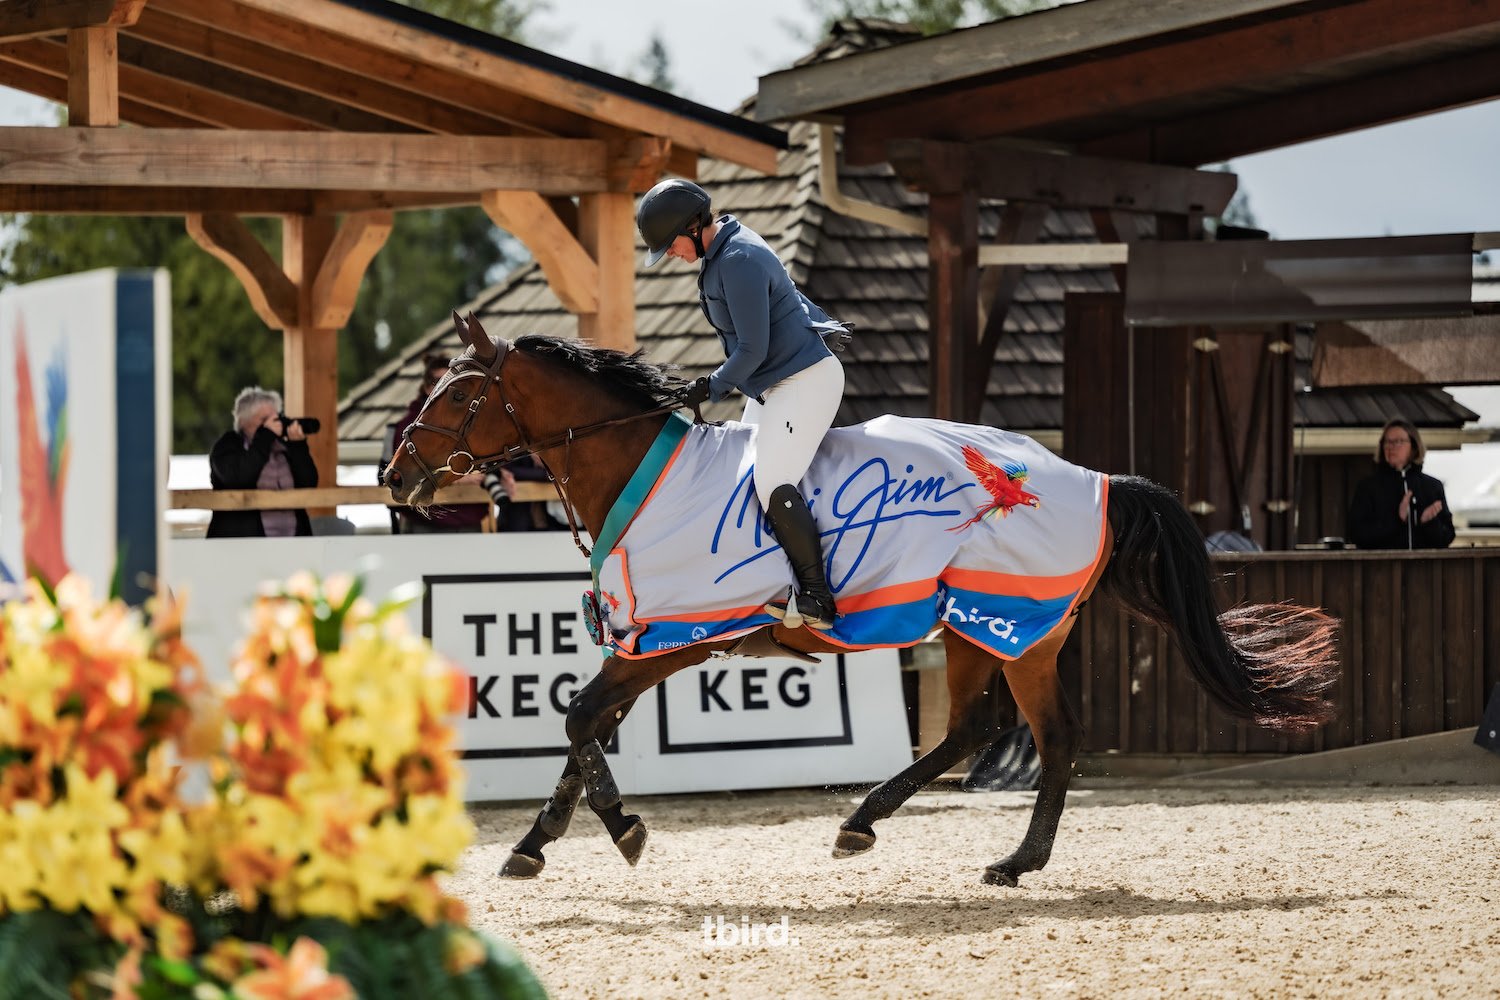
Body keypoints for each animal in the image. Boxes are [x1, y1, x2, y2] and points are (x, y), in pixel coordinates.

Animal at [384, 316, 1338, 887]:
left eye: (458, 393)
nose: (395, 478)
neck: (633, 470)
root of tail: (1095, 479)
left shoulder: (679, 638)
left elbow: (582, 722)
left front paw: (618, 831)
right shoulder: (647, 639)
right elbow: (583, 733)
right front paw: (538, 843)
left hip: (1017, 632)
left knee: (1053, 738)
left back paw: (1013, 859)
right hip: (976, 632)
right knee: (976, 728)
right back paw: (867, 820)